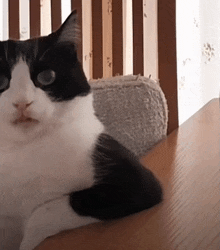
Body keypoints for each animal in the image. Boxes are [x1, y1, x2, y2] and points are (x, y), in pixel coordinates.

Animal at [0, 10, 162, 250]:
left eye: (47, 77)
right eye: (1, 80)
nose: (22, 103)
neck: (25, 147)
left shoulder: (136, 182)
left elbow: (46, 210)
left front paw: (28, 240)